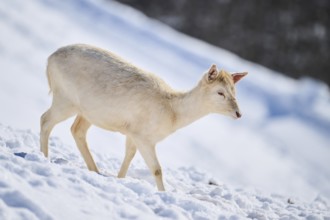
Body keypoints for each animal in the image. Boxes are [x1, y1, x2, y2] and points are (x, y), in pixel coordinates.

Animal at [40, 43, 246, 191]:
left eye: (234, 91)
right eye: (220, 92)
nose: (238, 113)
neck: (172, 115)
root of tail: (49, 58)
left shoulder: (133, 133)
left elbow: (129, 157)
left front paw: (119, 179)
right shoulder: (143, 136)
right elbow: (157, 169)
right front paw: (163, 193)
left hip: (87, 112)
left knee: (77, 130)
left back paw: (95, 171)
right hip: (65, 98)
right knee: (45, 119)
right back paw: (43, 157)